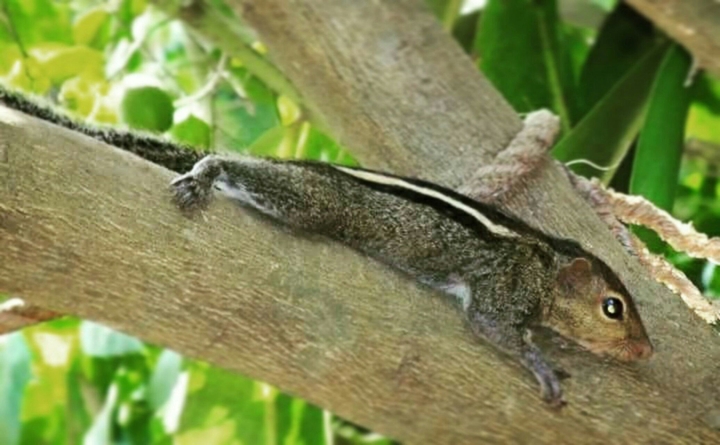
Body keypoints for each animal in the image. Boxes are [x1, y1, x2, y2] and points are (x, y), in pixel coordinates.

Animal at [0, 85, 653, 406]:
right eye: (613, 308)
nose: (646, 351)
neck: (546, 259)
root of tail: (301, 165)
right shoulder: (506, 284)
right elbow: (493, 327)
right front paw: (541, 361)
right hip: (316, 200)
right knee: (245, 172)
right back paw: (210, 169)